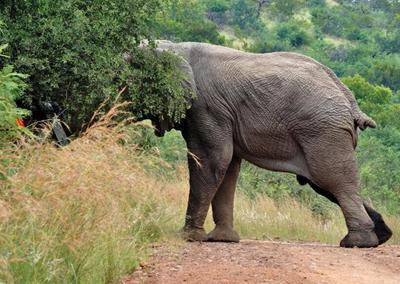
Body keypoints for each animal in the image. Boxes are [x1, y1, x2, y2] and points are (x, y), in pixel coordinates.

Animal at [145, 40, 392, 248]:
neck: (175, 46)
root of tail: (347, 95)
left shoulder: (205, 108)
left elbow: (210, 160)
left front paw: (188, 237)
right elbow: (228, 167)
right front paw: (223, 239)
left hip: (322, 133)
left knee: (332, 180)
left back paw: (358, 242)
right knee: (328, 185)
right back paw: (381, 236)